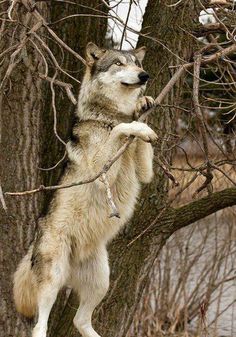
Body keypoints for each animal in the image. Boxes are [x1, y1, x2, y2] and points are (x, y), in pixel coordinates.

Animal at [13, 42, 157, 336]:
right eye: (118, 63)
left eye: (136, 63)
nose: (144, 75)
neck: (107, 115)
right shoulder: (102, 170)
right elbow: (122, 128)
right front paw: (136, 124)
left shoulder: (145, 172)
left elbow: (141, 144)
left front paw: (144, 110)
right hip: (53, 279)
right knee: (40, 325)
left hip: (102, 281)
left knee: (80, 320)